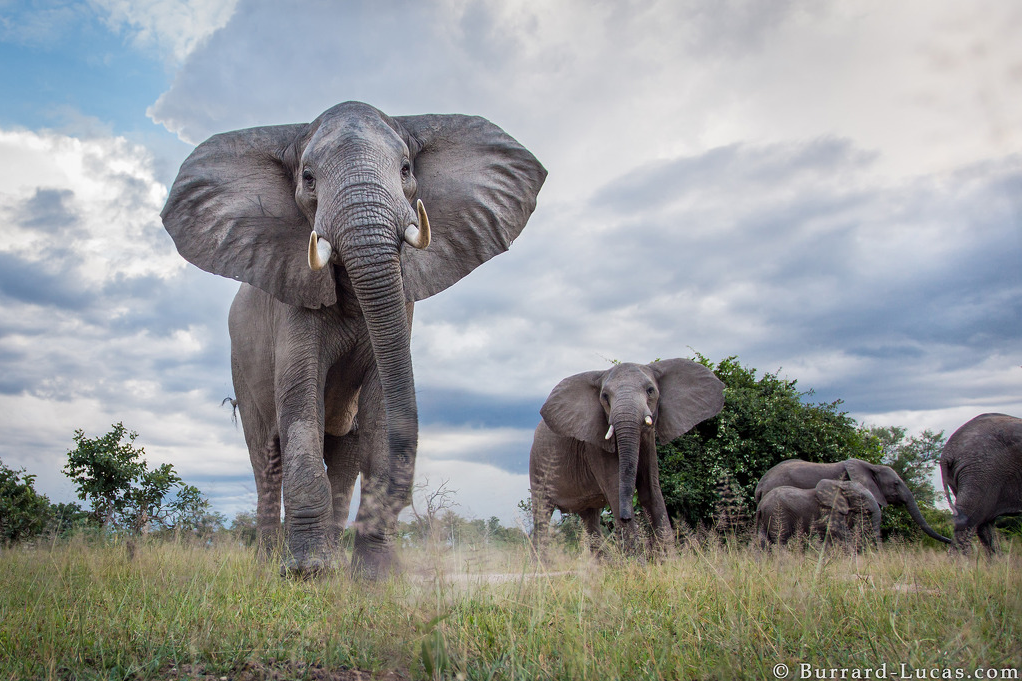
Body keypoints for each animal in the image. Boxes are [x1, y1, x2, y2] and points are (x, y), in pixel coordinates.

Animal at [159, 102, 543, 576]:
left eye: (406, 168)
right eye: (307, 178)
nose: (406, 499)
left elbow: (380, 406)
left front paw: (374, 577)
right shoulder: (293, 294)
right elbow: (300, 398)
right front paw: (305, 573)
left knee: (345, 456)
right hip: (241, 366)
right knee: (266, 458)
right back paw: (270, 566)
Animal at [527, 357, 727, 548]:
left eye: (650, 390)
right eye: (605, 396)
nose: (626, 517)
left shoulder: (648, 441)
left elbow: (652, 491)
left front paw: (669, 558)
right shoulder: (595, 445)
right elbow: (616, 490)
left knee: (590, 519)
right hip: (538, 466)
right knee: (542, 513)